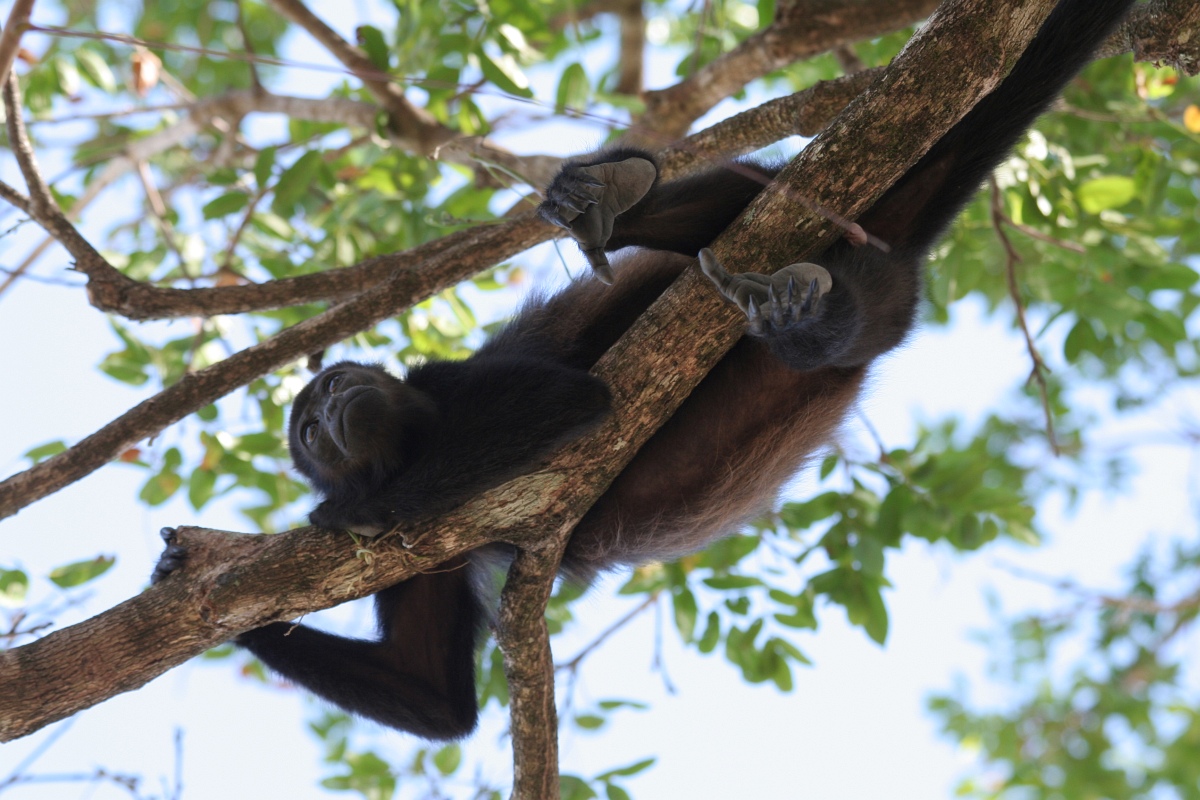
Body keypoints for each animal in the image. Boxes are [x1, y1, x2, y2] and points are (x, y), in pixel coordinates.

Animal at [157, 0, 1132, 738]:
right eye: (311, 430)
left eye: (325, 399)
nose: (332, 406)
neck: (411, 439)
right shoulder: (419, 563)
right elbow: (432, 697)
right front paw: (191, 583)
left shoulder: (440, 379)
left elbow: (565, 400)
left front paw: (349, 510)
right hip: (881, 295)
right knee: (831, 332)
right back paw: (806, 317)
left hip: (808, 213)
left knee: (735, 200)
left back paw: (615, 202)